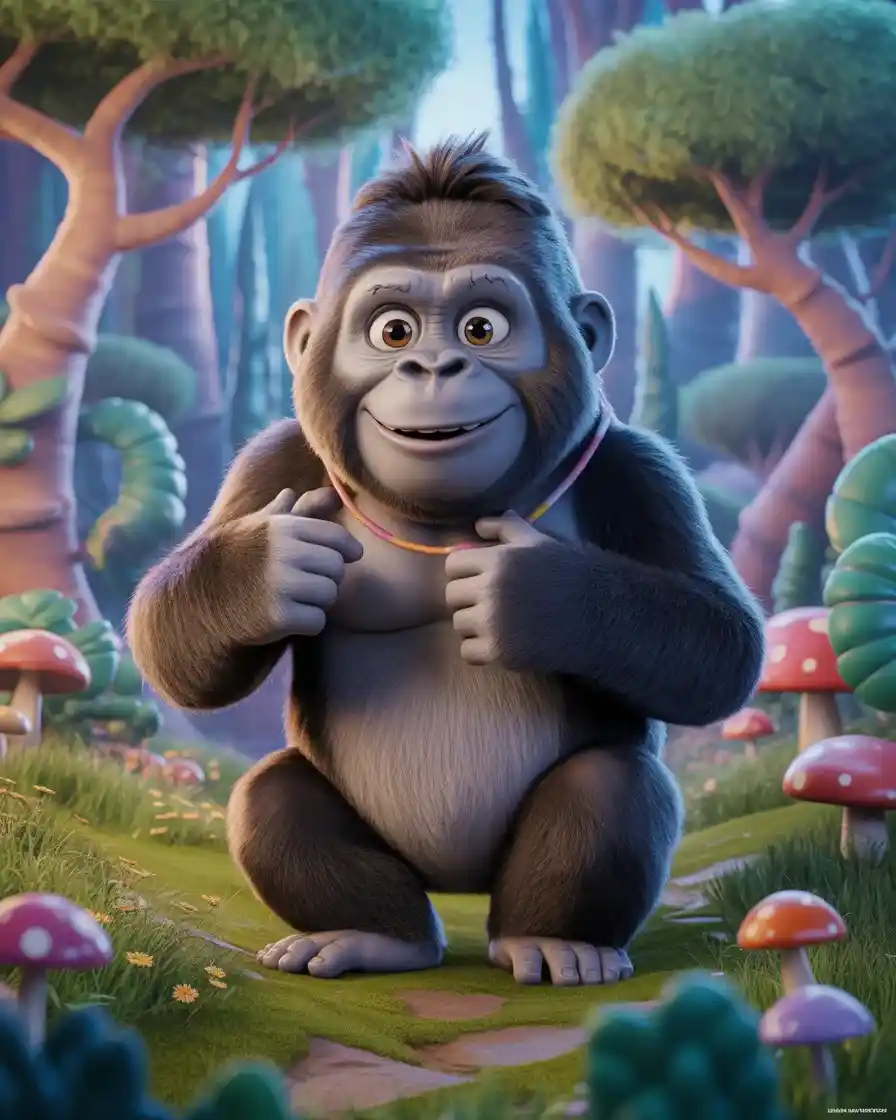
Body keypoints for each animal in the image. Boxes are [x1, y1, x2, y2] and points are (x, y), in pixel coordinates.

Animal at [127, 134, 764, 987]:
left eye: (481, 328)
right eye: (393, 331)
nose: (433, 368)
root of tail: (457, 890)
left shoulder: (639, 469)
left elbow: (722, 642)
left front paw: (534, 594)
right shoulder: (273, 460)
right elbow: (178, 654)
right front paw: (268, 569)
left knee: (612, 785)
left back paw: (554, 940)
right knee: (270, 799)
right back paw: (371, 935)